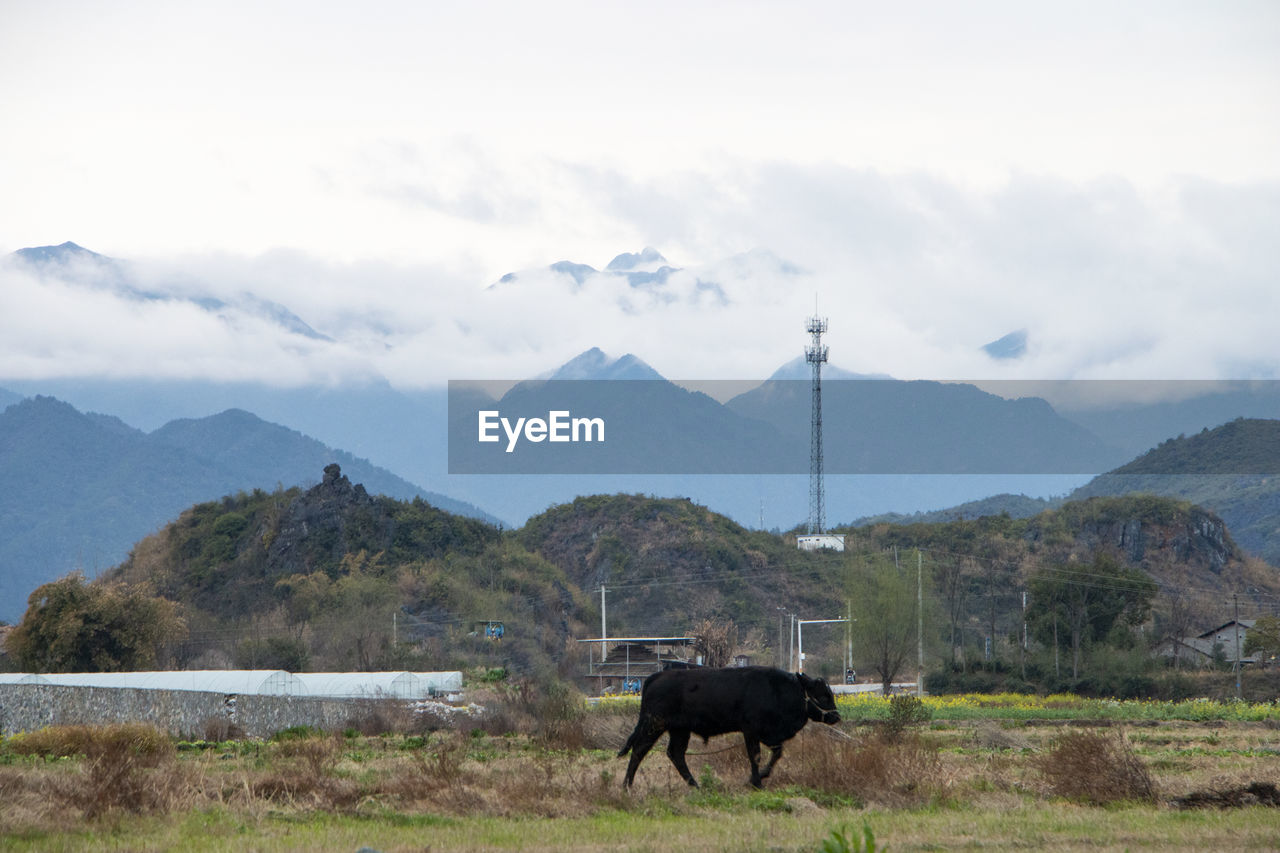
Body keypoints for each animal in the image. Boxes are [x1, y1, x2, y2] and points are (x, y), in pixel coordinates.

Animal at [616, 660, 839, 788]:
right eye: (823, 696)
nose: (836, 716)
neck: (776, 689)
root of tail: (657, 676)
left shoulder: (768, 735)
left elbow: (777, 753)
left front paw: (761, 776)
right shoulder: (751, 731)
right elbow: (755, 756)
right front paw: (756, 782)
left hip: (680, 730)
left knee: (676, 754)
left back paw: (695, 785)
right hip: (654, 725)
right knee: (639, 750)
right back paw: (627, 785)